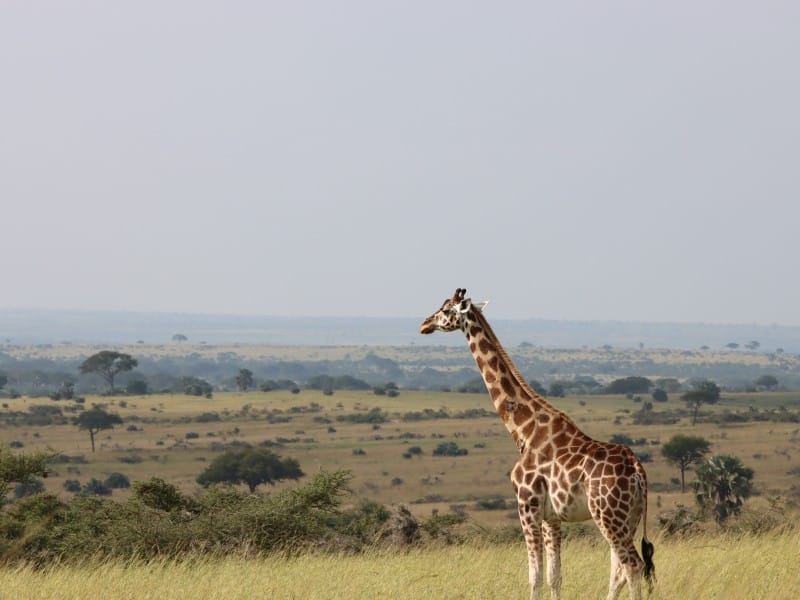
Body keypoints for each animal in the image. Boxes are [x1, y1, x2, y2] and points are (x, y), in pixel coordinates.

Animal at [420, 288, 655, 600]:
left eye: (446, 309)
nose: (424, 324)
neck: (523, 430)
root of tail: (637, 469)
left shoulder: (526, 504)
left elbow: (535, 576)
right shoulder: (551, 517)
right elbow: (555, 576)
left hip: (607, 513)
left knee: (632, 565)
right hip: (629, 515)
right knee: (618, 570)